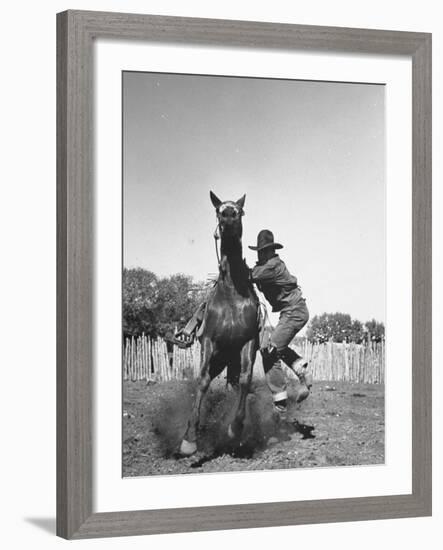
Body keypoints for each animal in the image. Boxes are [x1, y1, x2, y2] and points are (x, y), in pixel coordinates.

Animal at [180, 193, 260, 458]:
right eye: (218, 210)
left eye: (240, 211)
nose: (228, 216)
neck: (232, 293)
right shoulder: (209, 340)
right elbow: (203, 380)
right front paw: (189, 440)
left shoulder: (248, 342)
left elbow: (245, 380)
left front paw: (235, 428)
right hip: (218, 358)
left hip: (230, 360)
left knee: (236, 383)